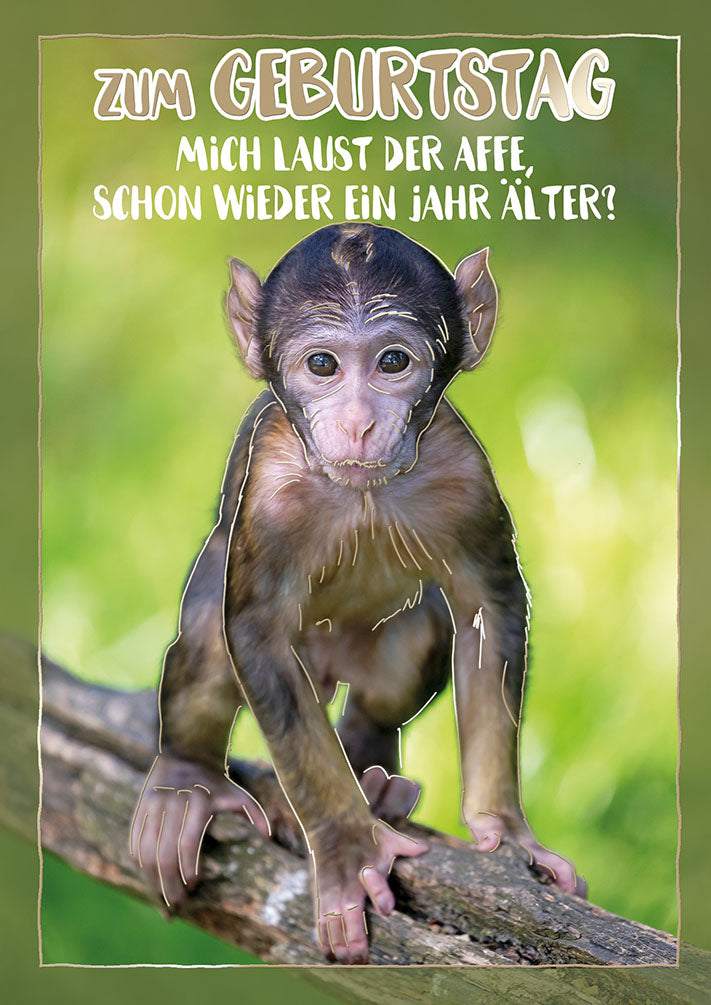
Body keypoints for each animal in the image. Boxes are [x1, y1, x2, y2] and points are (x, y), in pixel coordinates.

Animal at [129, 222, 586, 965]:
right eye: (322, 365)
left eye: (393, 361)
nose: (359, 421)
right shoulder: (274, 491)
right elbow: (254, 635)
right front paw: (348, 848)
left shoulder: (463, 473)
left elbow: (488, 608)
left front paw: (507, 830)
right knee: (211, 640)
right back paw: (185, 782)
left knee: (404, 660)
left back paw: (373, 773)